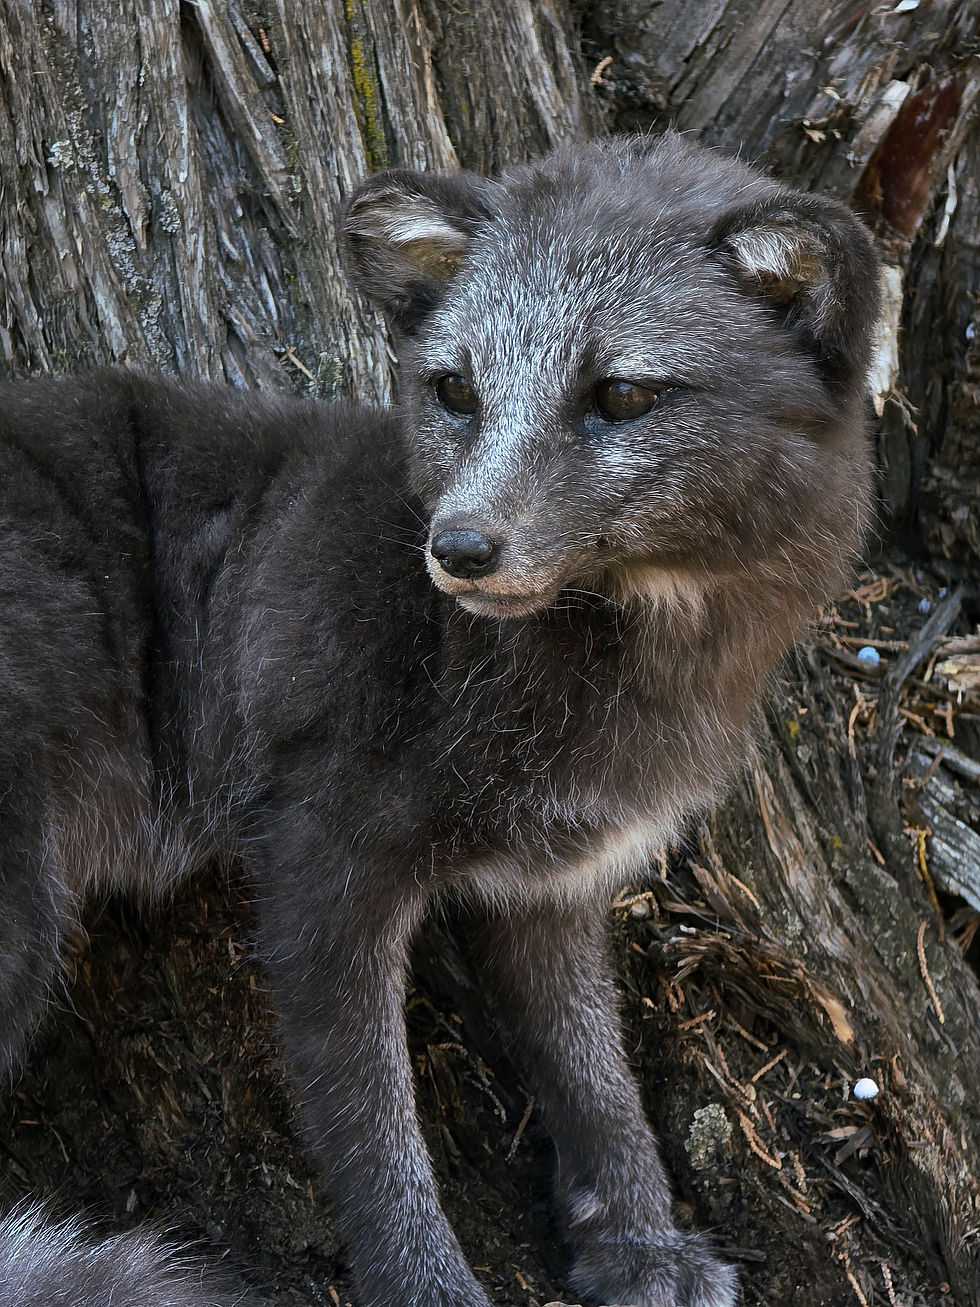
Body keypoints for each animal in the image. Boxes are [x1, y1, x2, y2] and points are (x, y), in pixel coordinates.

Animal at [0, 132, 879, 1307]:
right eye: (456, 388)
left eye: (623, 392)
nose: (458, 548)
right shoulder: (320, 864)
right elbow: (374, 1137)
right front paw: (431, 1285)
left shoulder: (552, 878)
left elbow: (594, 1072)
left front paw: (638, 1242)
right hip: (21, 923)